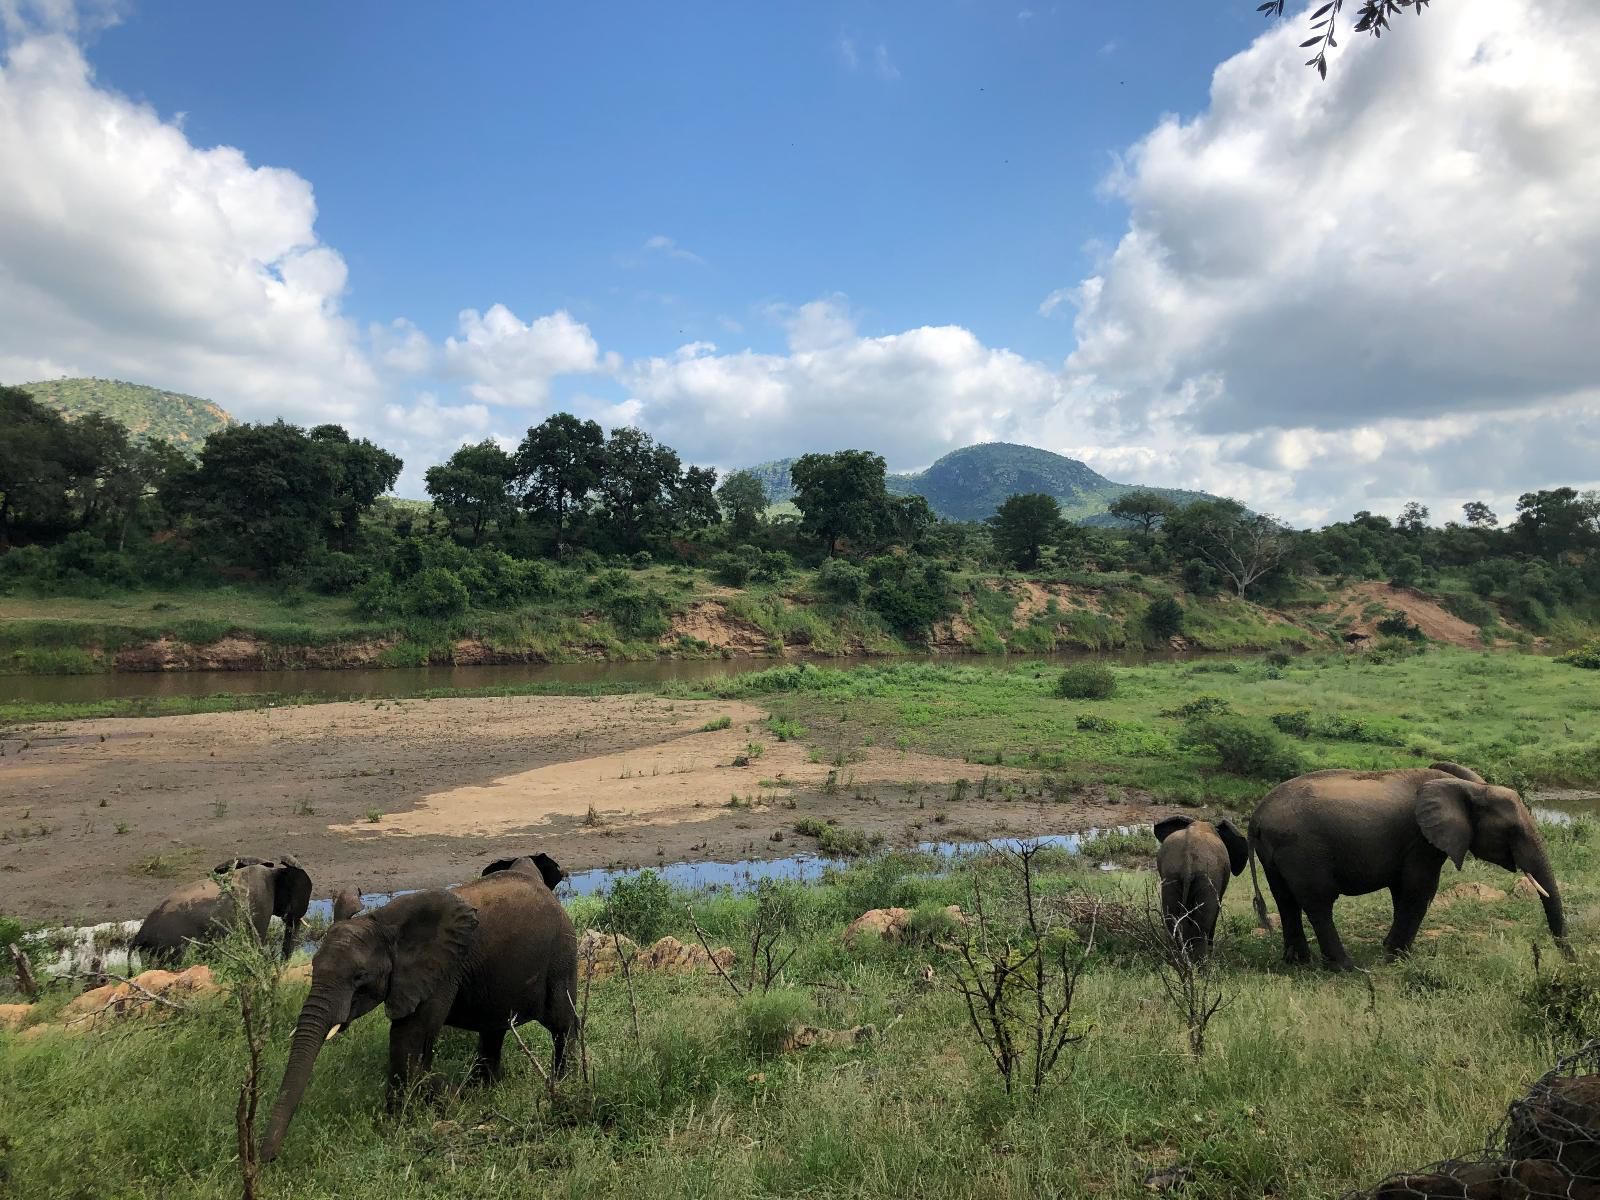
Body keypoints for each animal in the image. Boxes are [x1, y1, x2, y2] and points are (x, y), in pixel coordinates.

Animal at [262, 857, 582, 1164]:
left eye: (359, 978)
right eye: (314, 968)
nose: (269, 1158)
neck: (381, 924)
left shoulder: (441, 971)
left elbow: (409, 1039)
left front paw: (408, 1118)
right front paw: (411, 1113)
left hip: (561, 956)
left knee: (562, 1024)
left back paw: (565, 1083)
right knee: (493, 1031)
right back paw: (483, 1090)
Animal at [1158, 819, 1254, 960]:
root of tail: (1188, 859)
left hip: (1171, 874)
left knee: (1171, 918)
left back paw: (1176, 958)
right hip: (1207, 876)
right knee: (1202, 924)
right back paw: (1202, 962)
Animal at [1241, 764, 1568, 972]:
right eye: (1513, 831)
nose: (1570, 960)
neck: (1471, 788)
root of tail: (1256, 817)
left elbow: (1403, 890)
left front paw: (1393, 950)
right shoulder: (1422, 839)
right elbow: (1419, 888)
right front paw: (1396, 957)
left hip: (1276, 852)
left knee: (1286, 900)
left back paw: (1297, 964)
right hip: (1302, 849)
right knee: (1318, 902)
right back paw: (1345, 968)